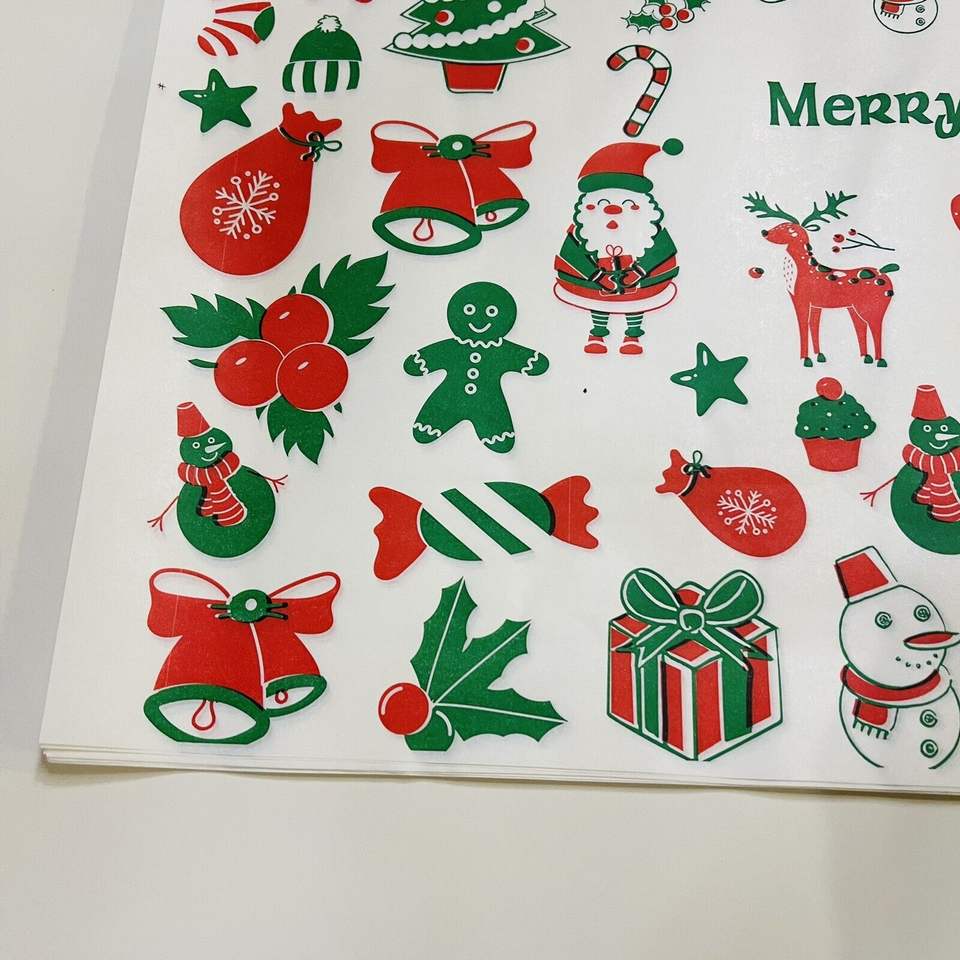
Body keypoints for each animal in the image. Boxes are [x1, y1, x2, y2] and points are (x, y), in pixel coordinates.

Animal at [744, 191, 899, 368]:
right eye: (779, 225)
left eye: (789, 229)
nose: (764, 232)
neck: (801, 271)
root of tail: (885, 271)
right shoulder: (816, 303)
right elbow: (813, 325)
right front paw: (819, 356)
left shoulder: (801, 299)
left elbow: (803, 325)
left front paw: (805, 359)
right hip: (853, 308)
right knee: (861, 326)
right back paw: (865, 357)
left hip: (875, 306)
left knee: (876, 327)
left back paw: (880, 360)